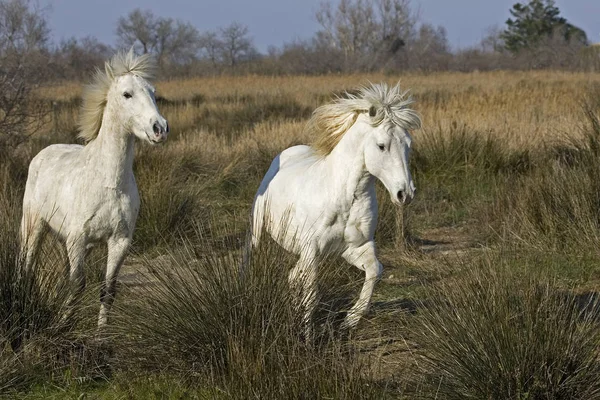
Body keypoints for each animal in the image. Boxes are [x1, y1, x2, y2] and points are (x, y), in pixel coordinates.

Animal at [20, 51, 169, 326]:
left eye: (153, 92)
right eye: (127, 94)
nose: (160, 129)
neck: (109, 183)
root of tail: (42, 154)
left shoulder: (119, 241)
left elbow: (107, 289)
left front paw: (101, 332)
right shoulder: (77, 239)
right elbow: (78, 285)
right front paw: (64, 324)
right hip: (34, 226)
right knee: (27, 266)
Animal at [251, 83, 420, 330]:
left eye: (408, 145)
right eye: (381, 146)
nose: (405, 194)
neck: (343, 199)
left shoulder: (354, 247)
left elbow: (375, 271)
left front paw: (350, 319)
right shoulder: (311, 250)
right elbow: (311, 296)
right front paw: (306, 335)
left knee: (293, 276)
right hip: (258, 232)